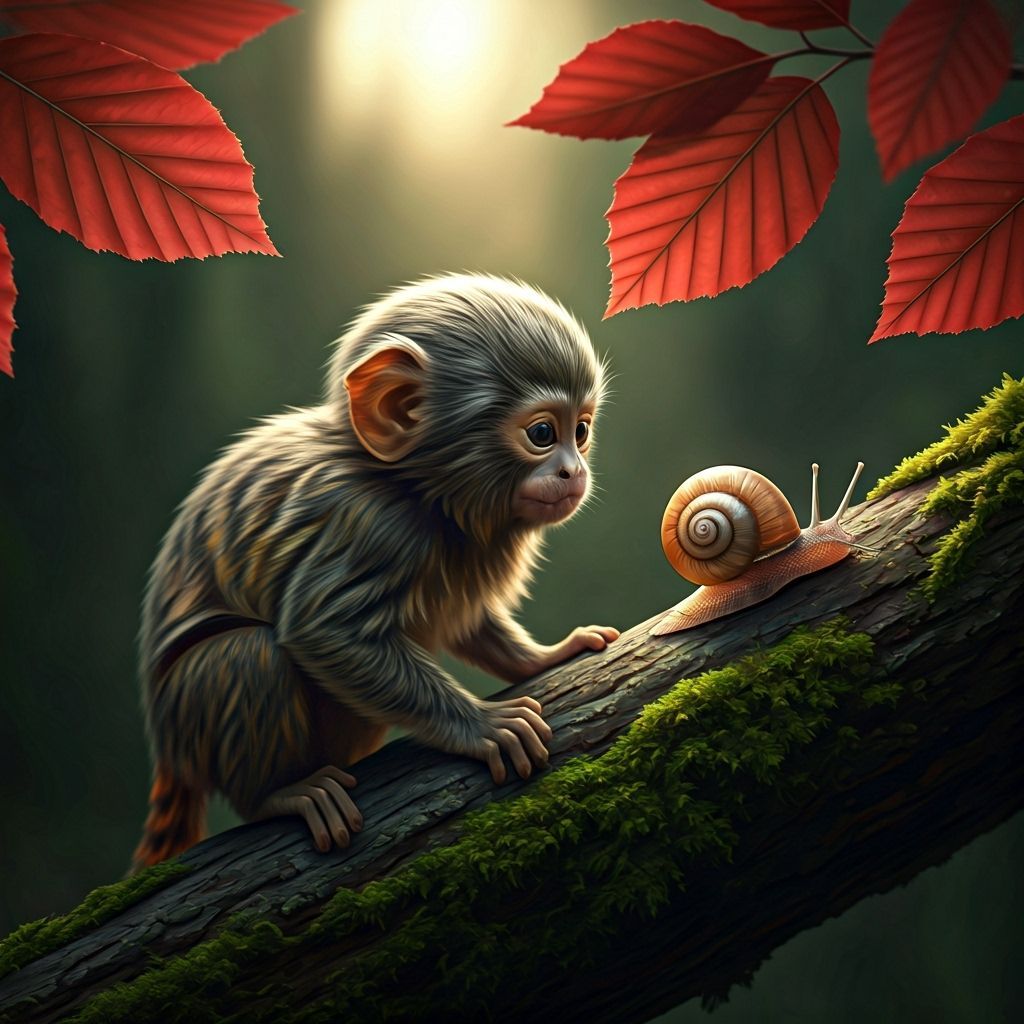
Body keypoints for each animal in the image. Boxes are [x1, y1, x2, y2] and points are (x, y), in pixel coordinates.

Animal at [131, 273, 619, 871]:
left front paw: (545, 656)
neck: (413, 488)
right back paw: (276, 794)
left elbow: (470, 621)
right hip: (193, 711)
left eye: (582, 430)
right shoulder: (370, 525)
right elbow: (323, 629)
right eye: (544, 433)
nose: (574, 470)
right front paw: (479, 725)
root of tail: (168, 746)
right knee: (246, 654)